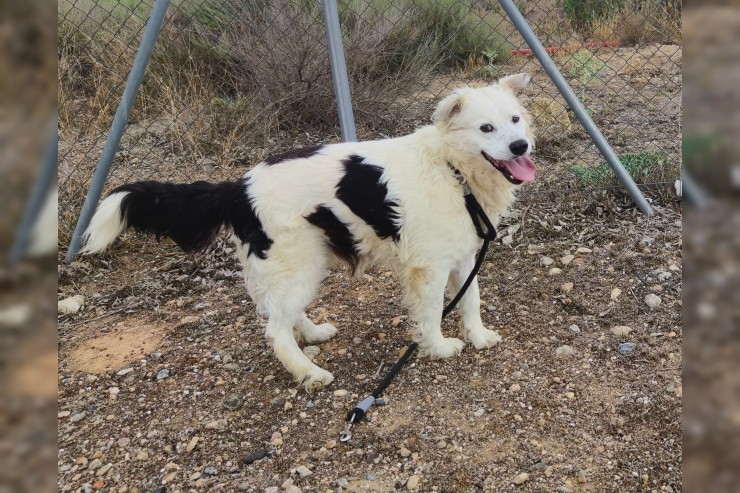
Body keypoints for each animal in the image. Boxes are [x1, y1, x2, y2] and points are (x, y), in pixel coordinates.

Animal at [84, 74, 536, 392]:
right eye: (486, 128)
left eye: (515, 120)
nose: (521, 146)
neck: (452, 169)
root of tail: (237, 186)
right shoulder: (430, 268)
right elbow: (430, 314)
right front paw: (439, 348)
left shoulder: (464, 256)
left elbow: (471, 301)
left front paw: (478, 336)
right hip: (299, 265)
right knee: (274, 330)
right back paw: (309, 373)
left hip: (299, 265)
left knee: (279, 313)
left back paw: (314, 333)